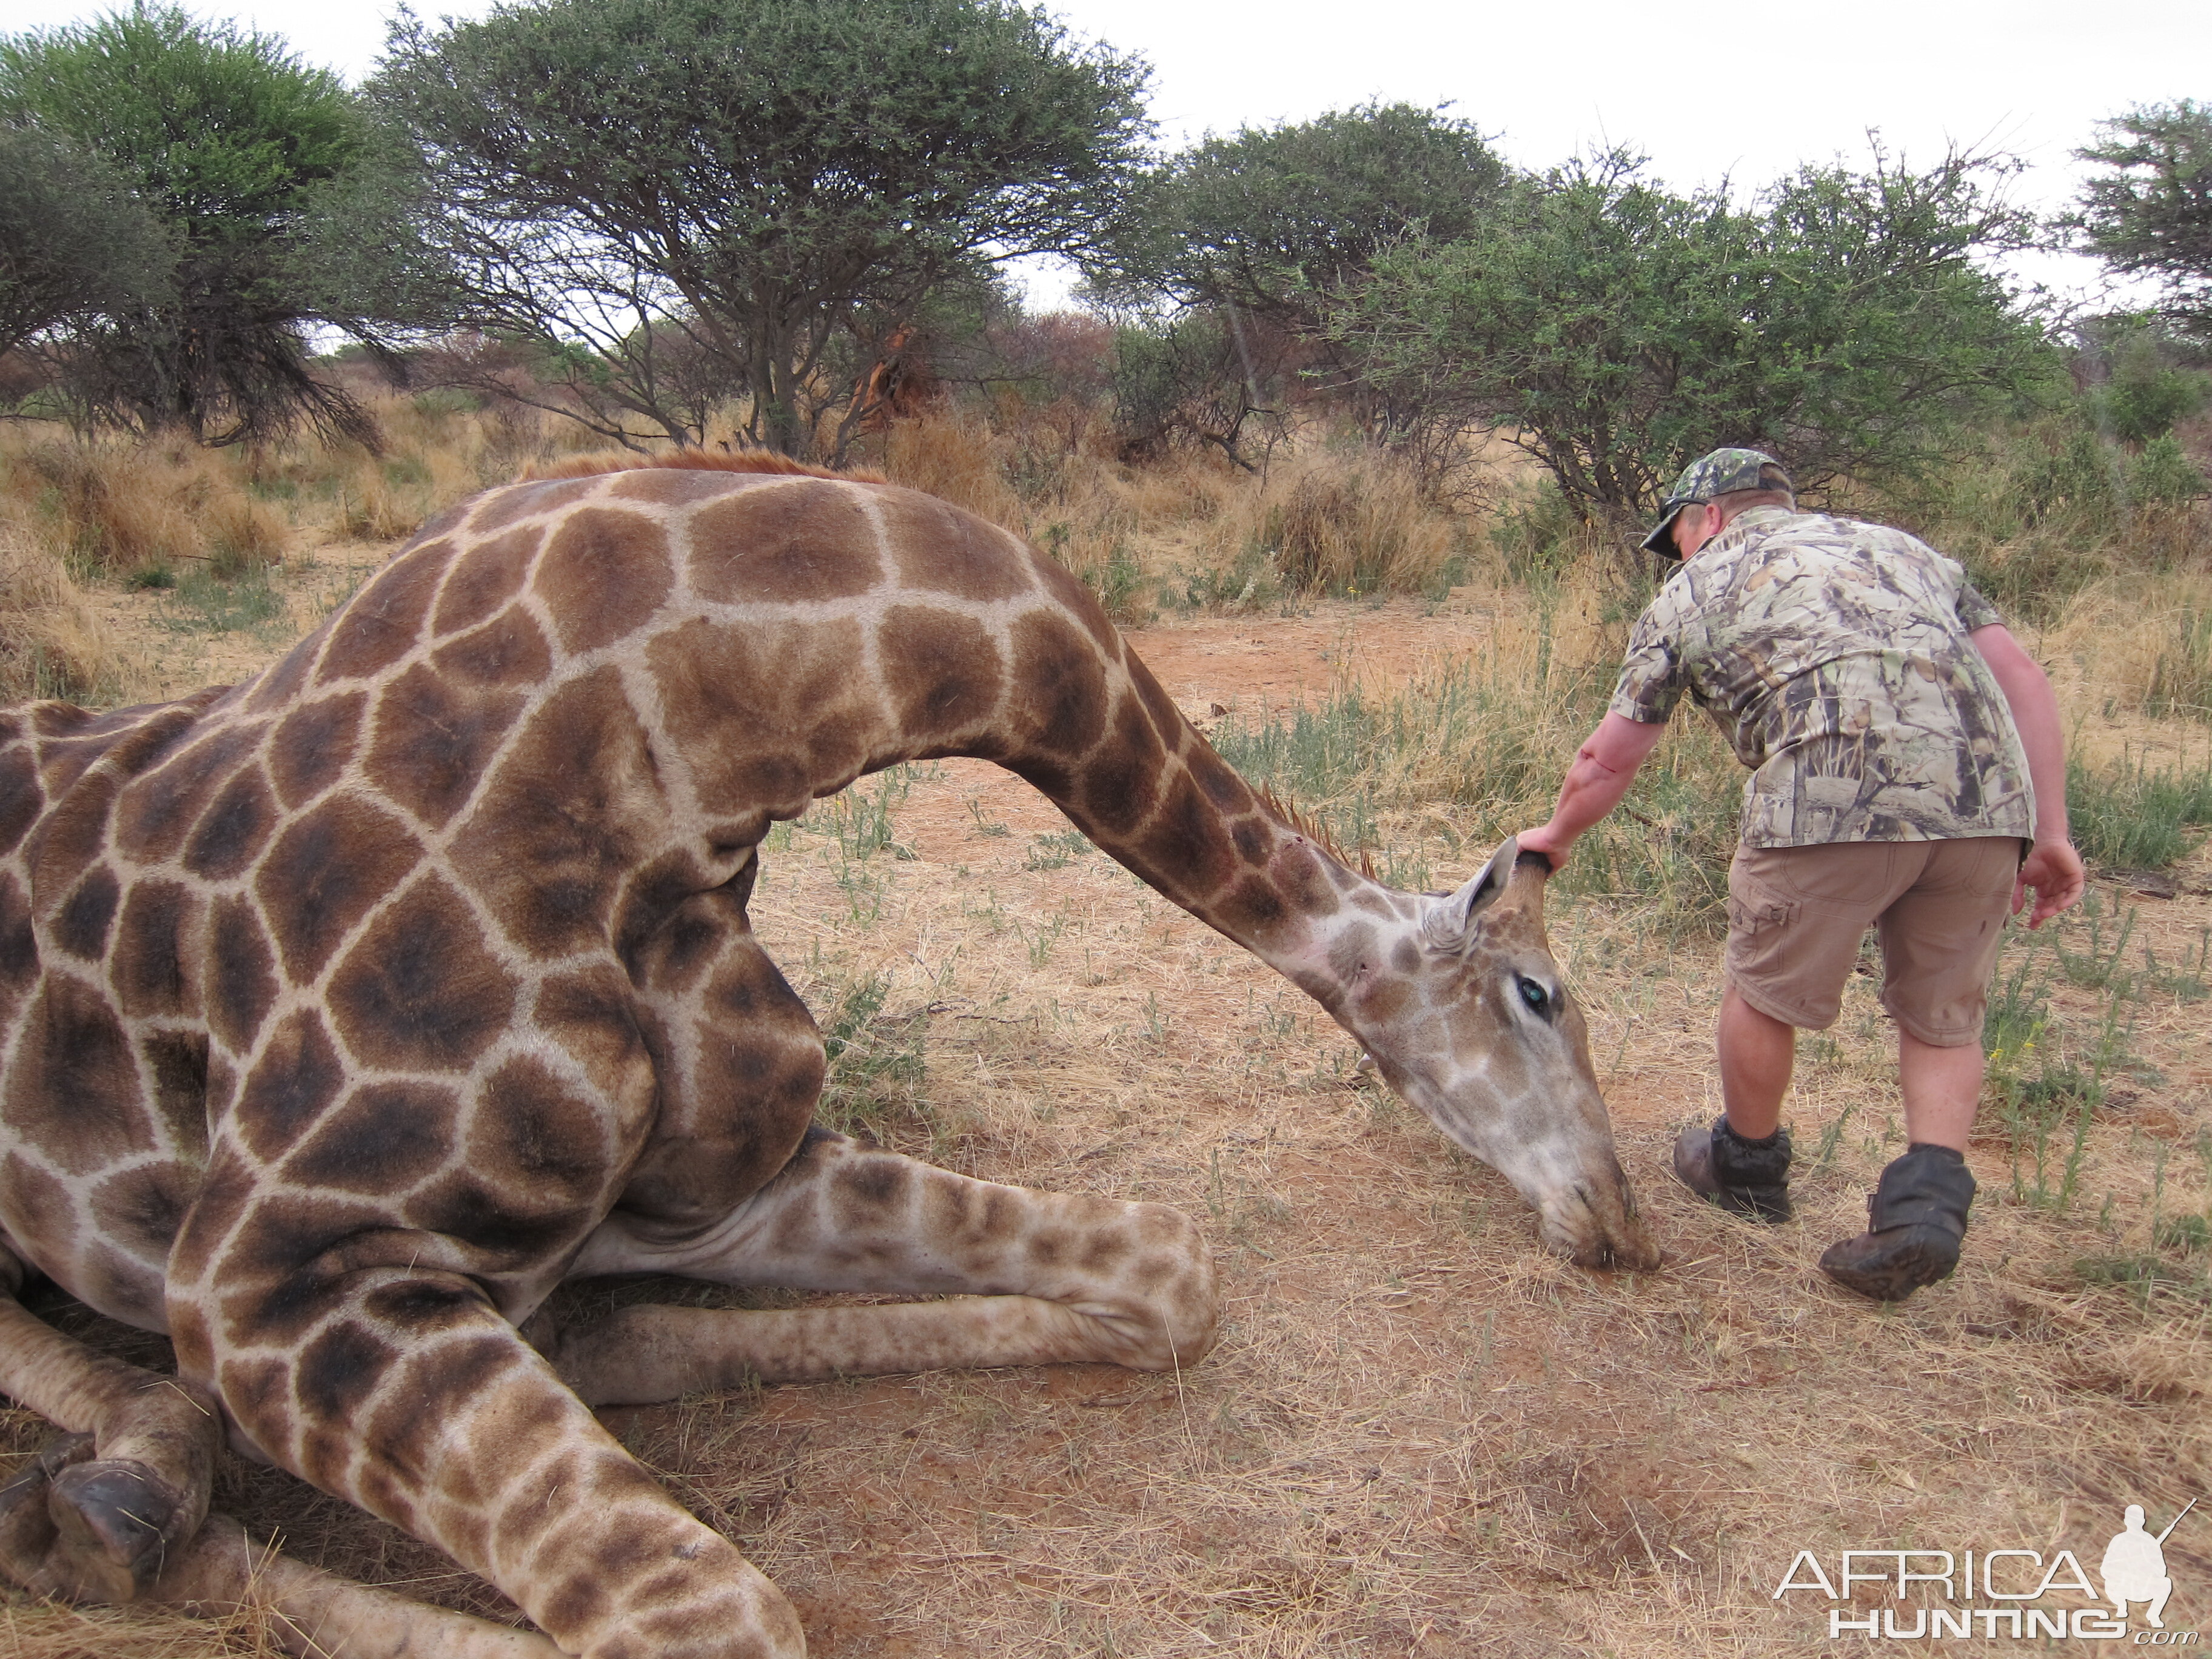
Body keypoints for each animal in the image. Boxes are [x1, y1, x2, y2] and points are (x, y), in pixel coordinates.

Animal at [0, 449, 1663, 1654]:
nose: (1625, 1222)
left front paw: (601, 1333)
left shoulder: (728, 1181)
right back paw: (99, 1505)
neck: (689, 749)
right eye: (1540, 992)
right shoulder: (271, 1271)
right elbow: (712, 1612)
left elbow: (1170, 1268)